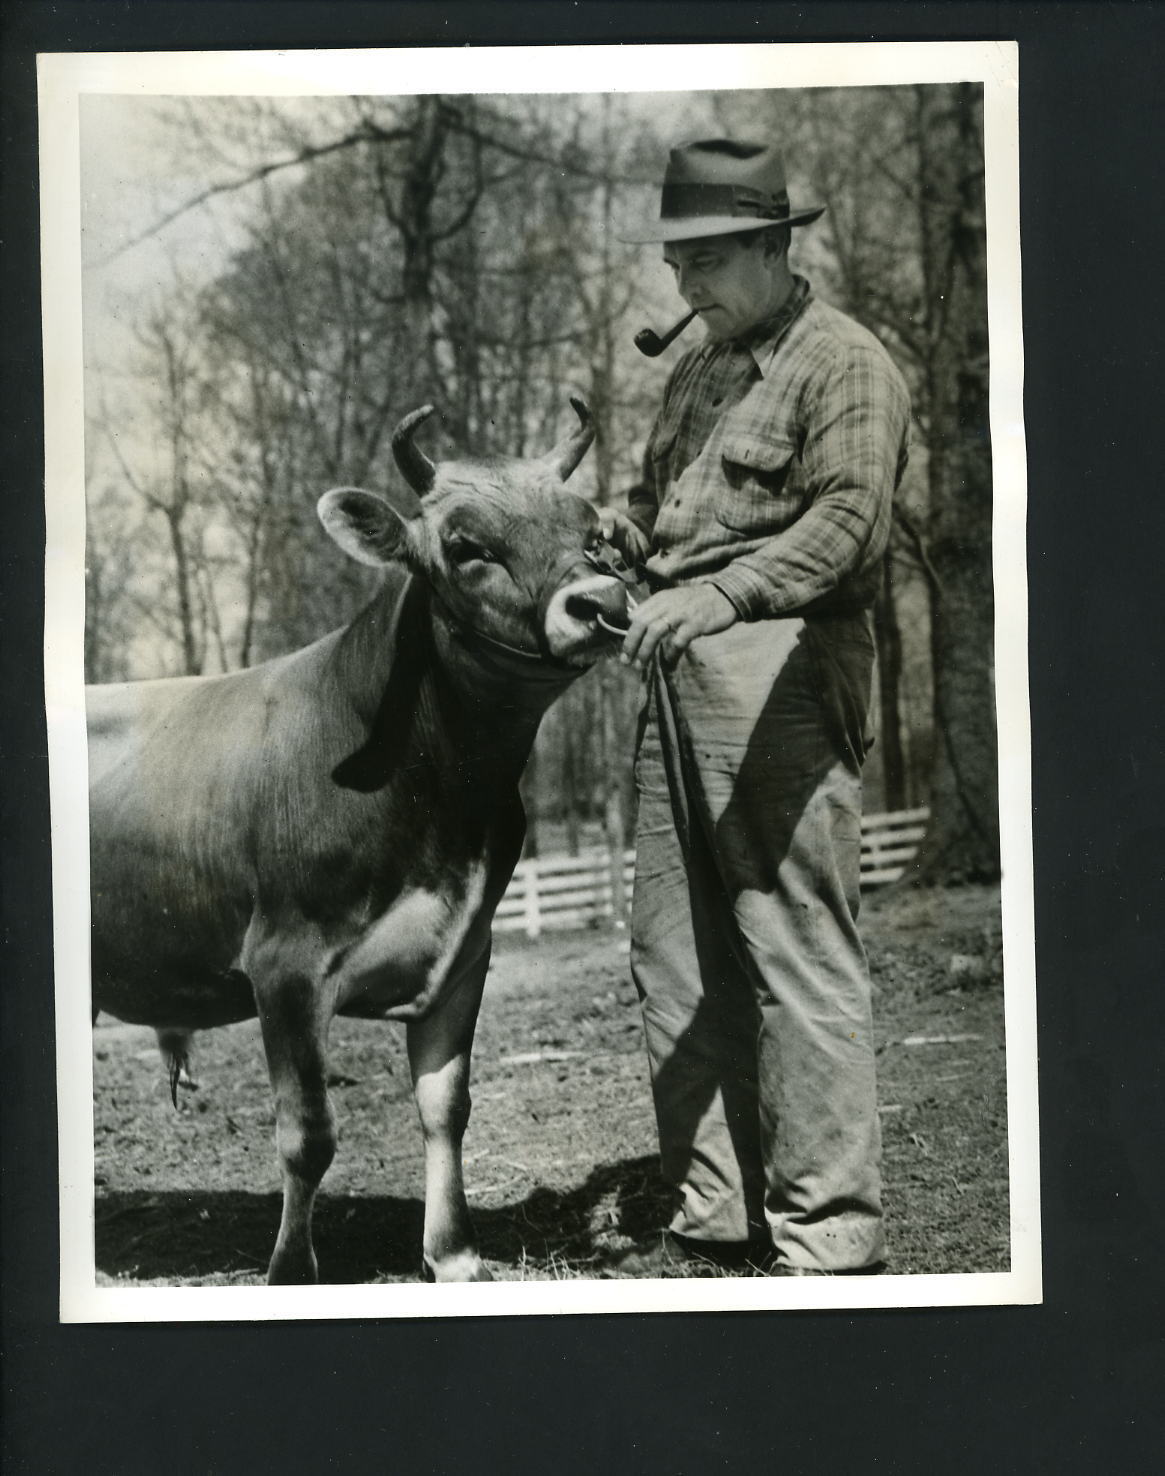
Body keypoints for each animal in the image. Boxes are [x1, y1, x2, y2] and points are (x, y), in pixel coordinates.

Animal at [88, 398, 634, 1287]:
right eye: (466, 547)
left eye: (592, 532)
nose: (599, 603)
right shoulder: (283, 964)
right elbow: (308, 1136)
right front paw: (289, 1273)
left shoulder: (463, 954)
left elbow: (446, 1107)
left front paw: (453, 1254)